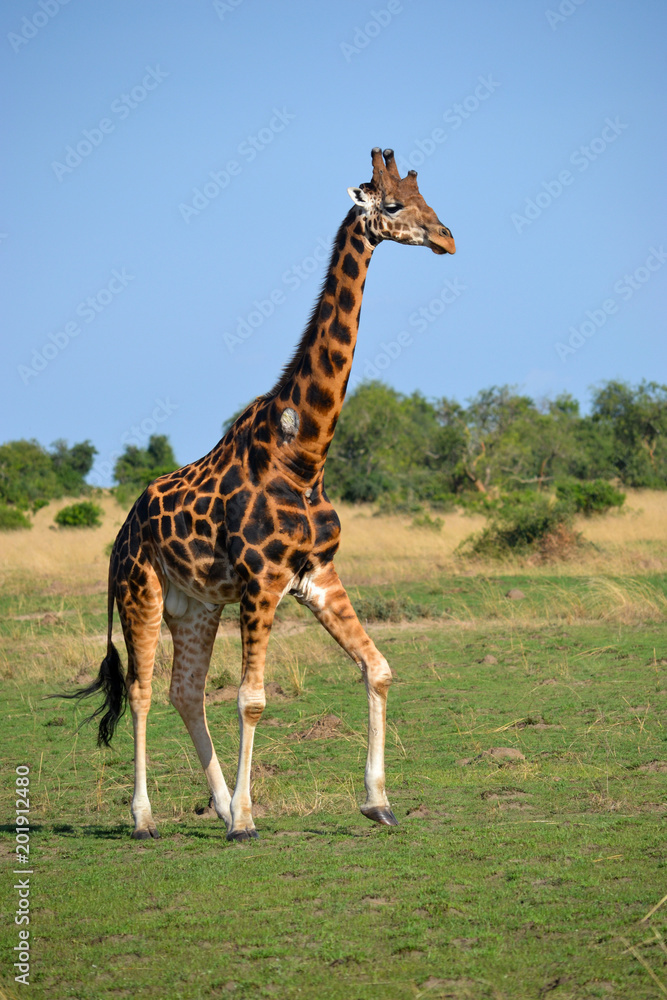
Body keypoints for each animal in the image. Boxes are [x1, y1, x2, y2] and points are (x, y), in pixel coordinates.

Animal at [64, 148, 456, 841]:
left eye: (425, 199)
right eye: (391, 205)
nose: (447, 237)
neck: (304, 455)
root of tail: (120, 533)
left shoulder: (317, 574)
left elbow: (377, 668)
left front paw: (377, 801)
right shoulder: (263, 581)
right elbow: (251, 699)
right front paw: (247, 821)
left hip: (196, 605)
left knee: (184, 691)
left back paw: (216, 805)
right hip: (142, 592)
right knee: (141, 692)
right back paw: (146, 818)